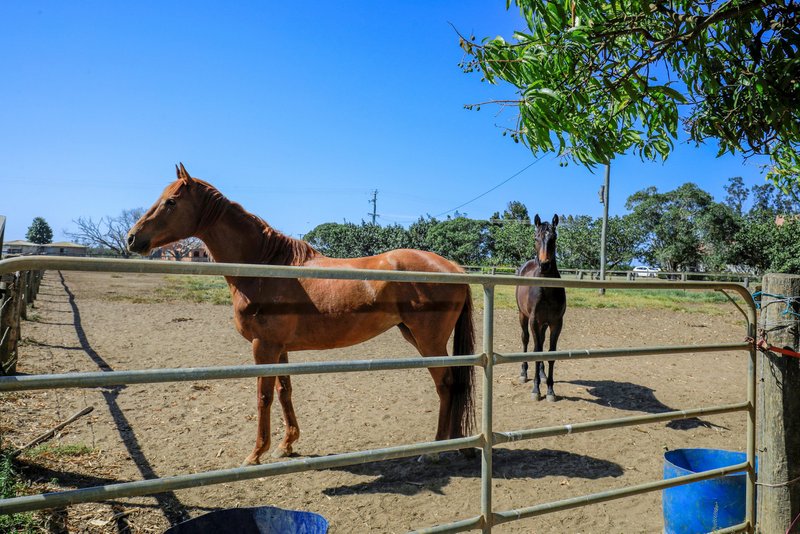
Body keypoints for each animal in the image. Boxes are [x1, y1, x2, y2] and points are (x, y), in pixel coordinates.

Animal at [126, 165, 476, 466]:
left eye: (171, 201)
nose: (132, 238)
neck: (265, 267)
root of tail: (453, 267)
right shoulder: (279, 348)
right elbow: (284, 391)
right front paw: (287, 444)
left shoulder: (263, 346)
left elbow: (263, 396)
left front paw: (256, 453)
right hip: (412, 334)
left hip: (428, 341)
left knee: (445, 384)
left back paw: (435, 450)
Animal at [516, 214, 564, 402]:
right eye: (535, 238)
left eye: (554, 238)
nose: (544, 265)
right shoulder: (534, 321)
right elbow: (536, 352)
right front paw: (536, 390)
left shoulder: (556, 323)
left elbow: (550, 353)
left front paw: (550, 389)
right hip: (523, 317)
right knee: (526, 340)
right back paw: (523, 373)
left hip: (543, 324)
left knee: (541, 343)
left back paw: (543, 375)